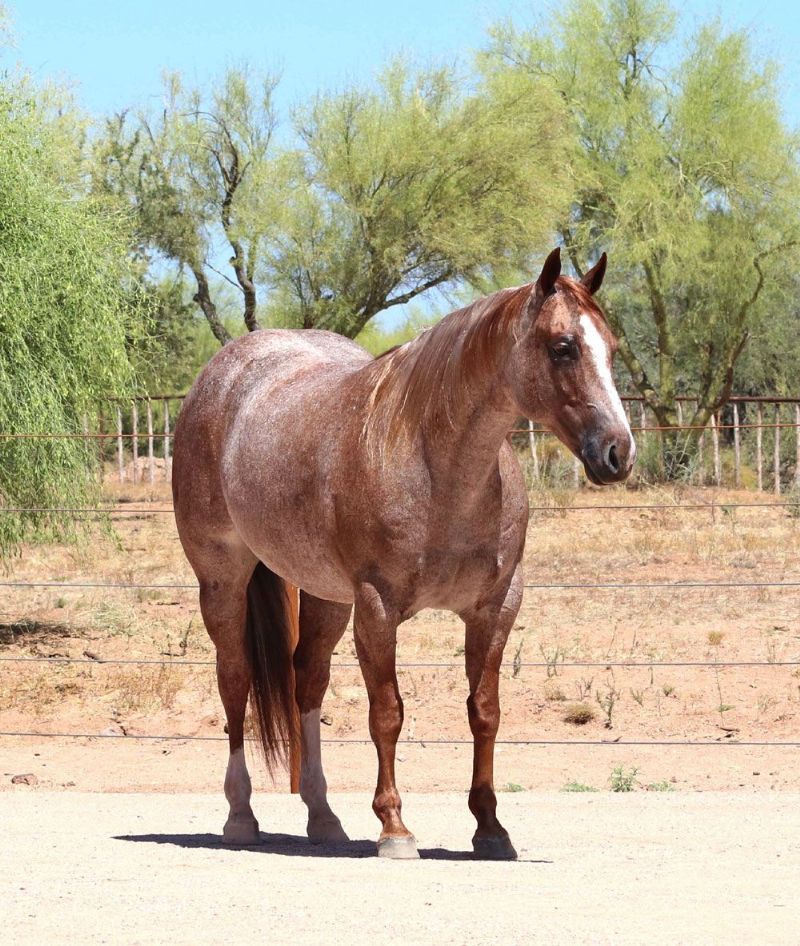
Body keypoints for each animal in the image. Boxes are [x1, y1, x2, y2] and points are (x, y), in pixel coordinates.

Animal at [172, 247, 635, 860]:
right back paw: (240, 817)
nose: (618, 453)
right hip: (223, 580)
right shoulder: (377, 607)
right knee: (235, 682)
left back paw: (323, 818)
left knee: (306, 682)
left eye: (612, 348)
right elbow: (387, 714)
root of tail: (221, 374)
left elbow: (485, 713)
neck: (438, 471)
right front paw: (394, 827)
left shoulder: (495, 607)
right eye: (563, 347)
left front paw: (490, 828)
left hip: (326, 597)